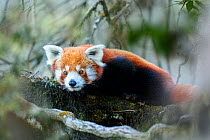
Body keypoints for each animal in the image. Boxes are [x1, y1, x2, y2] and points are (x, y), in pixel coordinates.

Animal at [43, 44, 197, 105]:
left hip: (151, 76)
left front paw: (90, 89)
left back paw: (139, 97)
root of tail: (171, 84)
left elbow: (119, 76)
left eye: (81, 72)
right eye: (65, 72)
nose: (72, 83)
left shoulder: (119, 65)